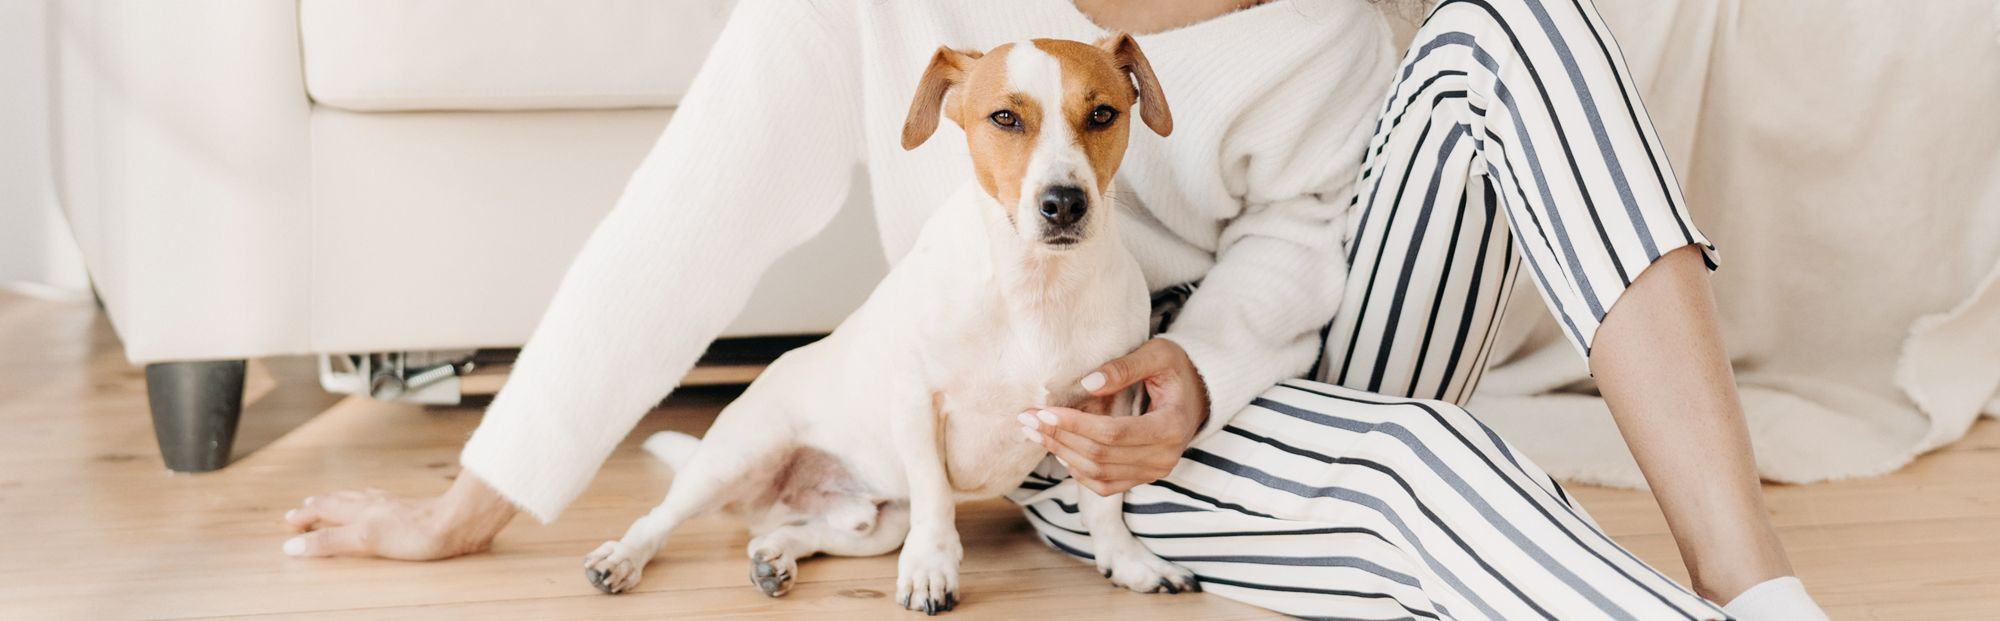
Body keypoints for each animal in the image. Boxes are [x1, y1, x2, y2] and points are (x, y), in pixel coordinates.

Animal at [584, 36, 1192, 612]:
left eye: (1103, 114)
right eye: (1004, 118)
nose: (1064, 203)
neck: (1036, 286)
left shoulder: (1111, 407)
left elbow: (1103, 504)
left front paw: (1128, 562)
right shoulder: (918, 402)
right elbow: (936, 500)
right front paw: (931, 569)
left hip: (880, 523)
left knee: (810, 533)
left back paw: (775, 555)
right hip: (732, 459)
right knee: (658, 519)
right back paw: (621, 558)